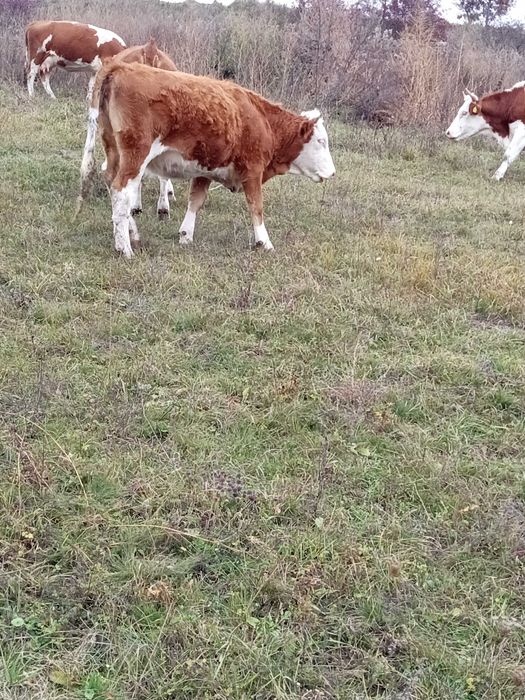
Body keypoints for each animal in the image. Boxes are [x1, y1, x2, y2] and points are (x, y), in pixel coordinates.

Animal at [96, 62, 335, 258]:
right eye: (321, 141)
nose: (333, 172)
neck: (263, 120)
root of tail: (119, 69)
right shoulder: (253, 170)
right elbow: (256, 207)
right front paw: (264, 243)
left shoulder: (205, 170)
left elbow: (195, 201)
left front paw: (186, 235)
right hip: (136, 156)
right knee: (121, 191)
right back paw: (124, 248)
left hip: (115, 152)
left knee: (110, 182)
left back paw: (131, 233)